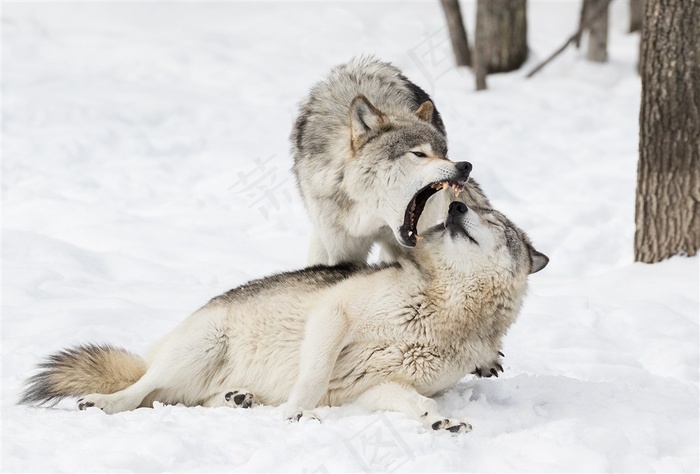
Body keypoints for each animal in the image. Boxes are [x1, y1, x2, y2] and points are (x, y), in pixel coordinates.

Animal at [19, 202, 548, 432]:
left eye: (493, 220)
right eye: (471, 207)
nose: (456, 203)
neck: (445, 308)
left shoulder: (381, 386)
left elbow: (420, 404)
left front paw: (440, 422)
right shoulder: (333, 315)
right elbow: (312, 378)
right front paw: (298, 413)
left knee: (181, 399)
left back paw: (237, 399)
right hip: (196, 348)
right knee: (138, 393)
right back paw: (102, 404)